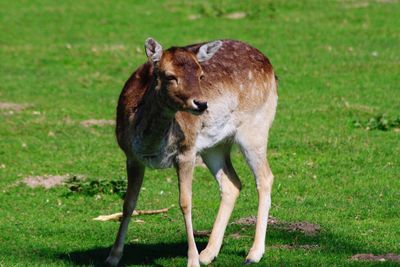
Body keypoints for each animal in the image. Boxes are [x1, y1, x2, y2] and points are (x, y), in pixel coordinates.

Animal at [106, 38, 278, 267]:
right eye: (169, 76)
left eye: (201, 75)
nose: (202, 103)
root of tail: (270, 66)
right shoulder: (131, 156)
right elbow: (128, 203)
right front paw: (113, 256)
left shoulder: (186, 151)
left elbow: (185, 203)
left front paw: (192, 260)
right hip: (213, 146)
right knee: (232, 183)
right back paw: (208, 253)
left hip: (255, 128)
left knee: (265, 177)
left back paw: (253, 253)